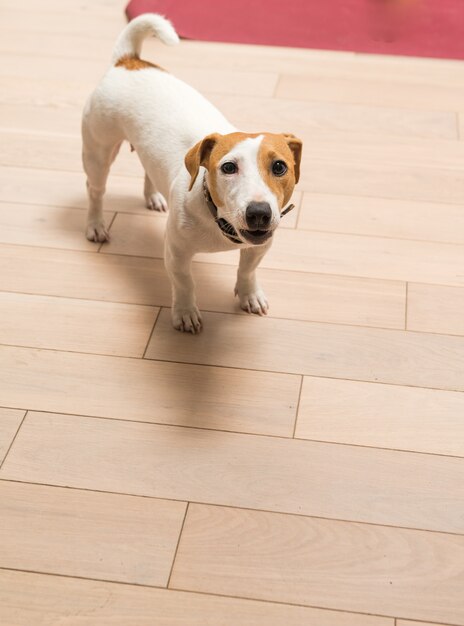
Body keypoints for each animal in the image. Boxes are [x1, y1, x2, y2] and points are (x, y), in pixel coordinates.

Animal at [82, 13, 302, 332]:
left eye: (279, 166)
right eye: (228, 167)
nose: (259, 213)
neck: (220, 223)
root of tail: (128, 61)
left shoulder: (260, 246)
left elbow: (247, 270)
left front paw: (249, 295)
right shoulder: (176, 252)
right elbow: (185, 283)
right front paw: (185, 313)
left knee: (148, 171)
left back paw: (154, 197)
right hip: (99, 152)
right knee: (95, 191)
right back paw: (96, 225)